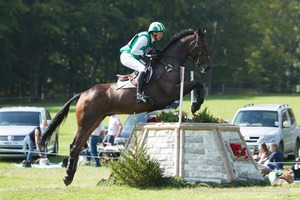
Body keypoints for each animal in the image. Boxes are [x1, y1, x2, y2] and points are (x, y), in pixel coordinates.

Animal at [39, 27, 211, 185]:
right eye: (202, 46)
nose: (208, 67)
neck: (168, 65)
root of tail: (82, 94)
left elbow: (198, 84)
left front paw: (196, 104)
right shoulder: (171, 92)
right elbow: (197, 83)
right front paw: (196, 105)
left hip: (94, 122)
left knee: (79, 146)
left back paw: (70, 175)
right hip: (86, 123)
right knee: (75, 146)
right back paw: (67, 177)